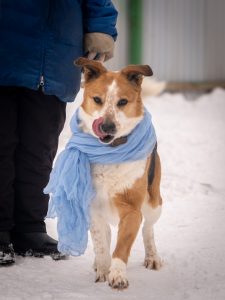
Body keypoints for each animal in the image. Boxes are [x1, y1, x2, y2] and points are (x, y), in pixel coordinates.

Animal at [75, 57, 162, 290]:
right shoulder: (93, 208)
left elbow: (121, 247)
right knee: (105, 234)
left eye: (122, 102)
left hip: (154, 204)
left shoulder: (132, 210)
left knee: (148, 229)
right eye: (97, 99)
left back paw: (152, 257)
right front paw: (103, 270)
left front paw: (117, 275)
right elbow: (101, 244)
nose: (106, 126)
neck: (110, 152)